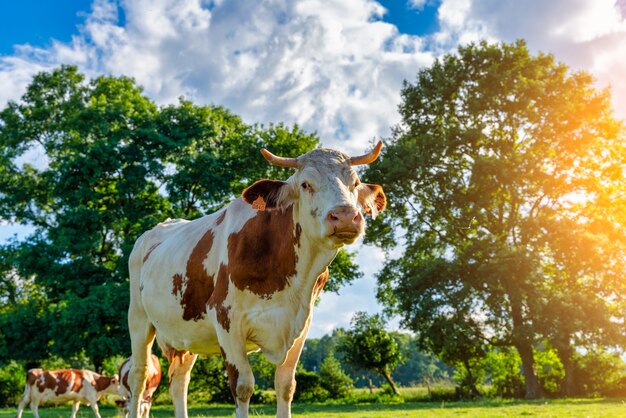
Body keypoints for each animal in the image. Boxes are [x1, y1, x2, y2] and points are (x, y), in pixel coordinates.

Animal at [127, 142, 386, 416]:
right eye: (306, 184)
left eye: (355, 183)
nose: (345, 216)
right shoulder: (226, 319)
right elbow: (243, 387)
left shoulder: (301, 325)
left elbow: (286, 385)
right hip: (138, 319)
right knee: (139, 376)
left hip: (185, 332)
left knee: (179, 381)